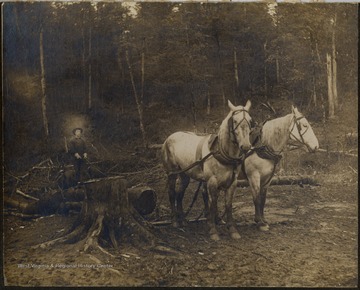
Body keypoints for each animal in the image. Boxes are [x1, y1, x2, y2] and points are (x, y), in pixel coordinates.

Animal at [162, 99, 252, 240]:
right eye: (235, 121)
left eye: (250, 120)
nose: (246, 146)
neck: (221, 152)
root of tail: (168, 138)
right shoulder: (212, 181)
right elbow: (213, 204)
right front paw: (213, 230)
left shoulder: (232, 182)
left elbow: (228, 205)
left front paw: (232, 230)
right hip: (172, 173)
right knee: (171, 193)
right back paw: (175, 221)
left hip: (185, 175)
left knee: (180, 194)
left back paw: (183, 221)